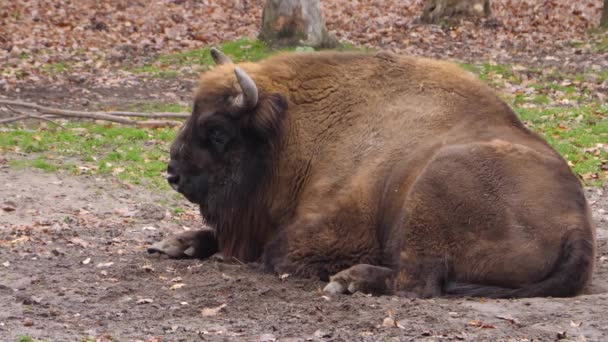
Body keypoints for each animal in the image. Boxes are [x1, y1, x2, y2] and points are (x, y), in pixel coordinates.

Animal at [150, 46, 596, 298]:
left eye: (217, 131)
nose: (173, 173)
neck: (291, 129)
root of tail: (580, 228)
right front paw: (175, 244)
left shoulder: (333, 232)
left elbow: (272, 253)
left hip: (432, 186)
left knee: (417, 282)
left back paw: (349, 280)